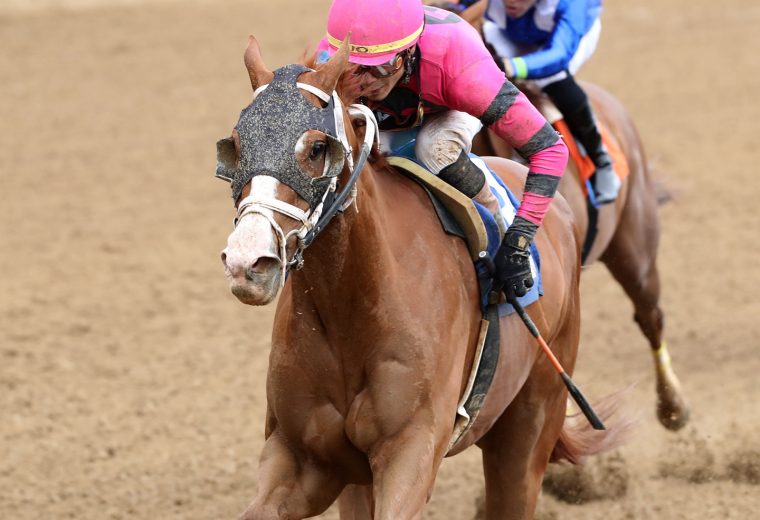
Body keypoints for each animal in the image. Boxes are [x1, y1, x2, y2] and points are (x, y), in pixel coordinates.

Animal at [217, 39, 628, 520]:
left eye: (317, 148)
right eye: (236, 145)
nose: (247, 261)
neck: (354, 308)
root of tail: (560, 211)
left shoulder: (410, 449)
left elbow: (546, 142)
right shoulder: (304, 458)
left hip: (528, 428)